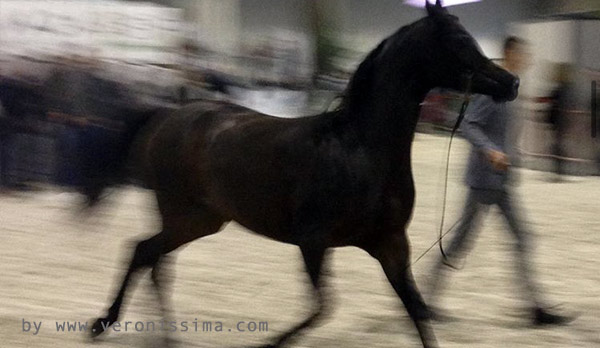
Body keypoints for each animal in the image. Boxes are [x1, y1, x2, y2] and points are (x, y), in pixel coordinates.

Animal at [88, 1, 520, 346]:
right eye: (459, 40)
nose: (512, 82)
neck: (360, 149)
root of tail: (169, 114)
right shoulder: (313, 240)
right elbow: (322, 308)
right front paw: (270, 344)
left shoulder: (391, 244)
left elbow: (416, 311)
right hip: (181, 214)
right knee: (145, 254)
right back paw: (107, 324)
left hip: (202, 220)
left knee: (152, 259)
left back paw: (161, 335)